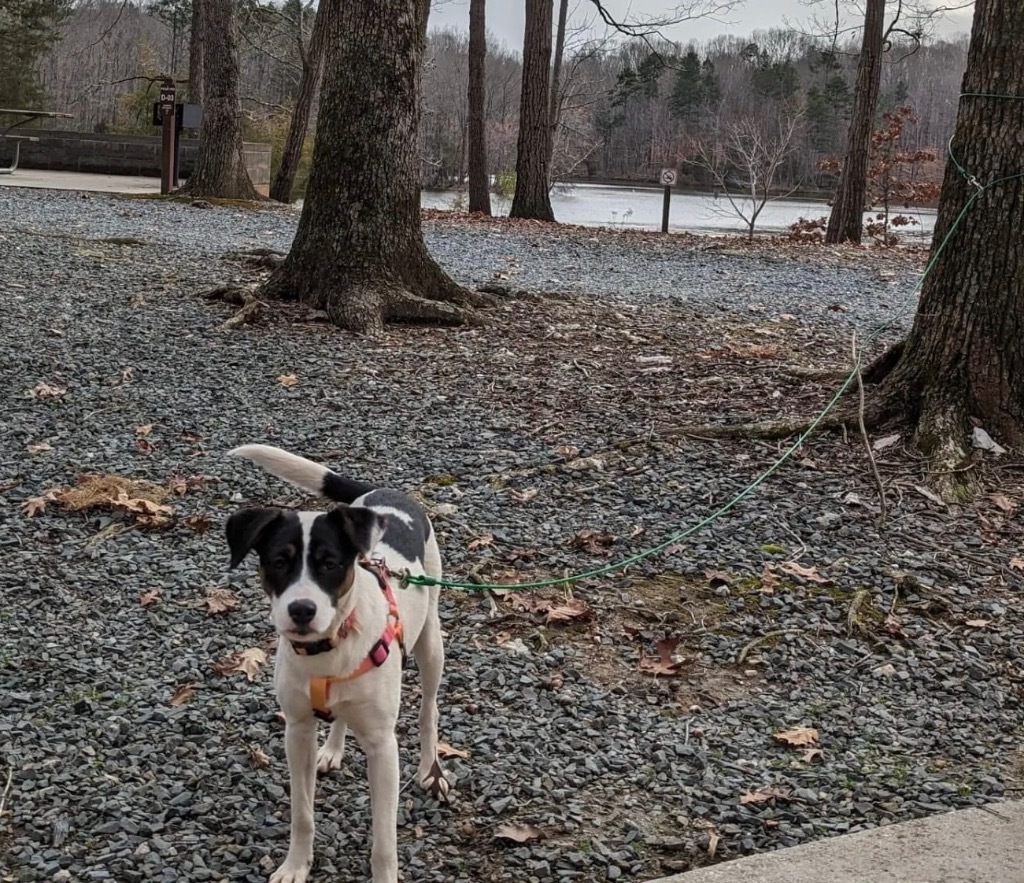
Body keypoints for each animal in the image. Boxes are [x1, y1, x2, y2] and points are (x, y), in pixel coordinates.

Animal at [226, 446, 446, 883]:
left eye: (329, 563)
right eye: (279, 562)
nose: (301, 610)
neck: (327, 649)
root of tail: (388, 491)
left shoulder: (383, 748)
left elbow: (384, 841)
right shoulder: (297, 731)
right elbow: (302, 814)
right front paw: (295, 865)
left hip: (431, 643)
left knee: (428, 708)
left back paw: (430, 768)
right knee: (342, 715)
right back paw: (333, 749)